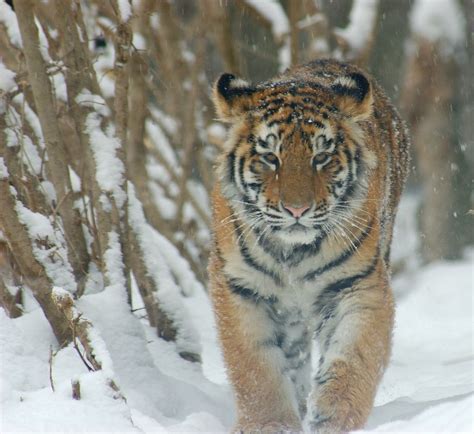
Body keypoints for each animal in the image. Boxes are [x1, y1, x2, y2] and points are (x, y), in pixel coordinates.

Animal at [209, 58, 410, 434]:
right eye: (270, 157)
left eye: (321, 157)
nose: (297, 210)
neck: (293, 253)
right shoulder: (241, 288)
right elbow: (256, 370)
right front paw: (271, 424)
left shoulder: (358, 285)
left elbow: (354, 358)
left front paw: (333, 418)